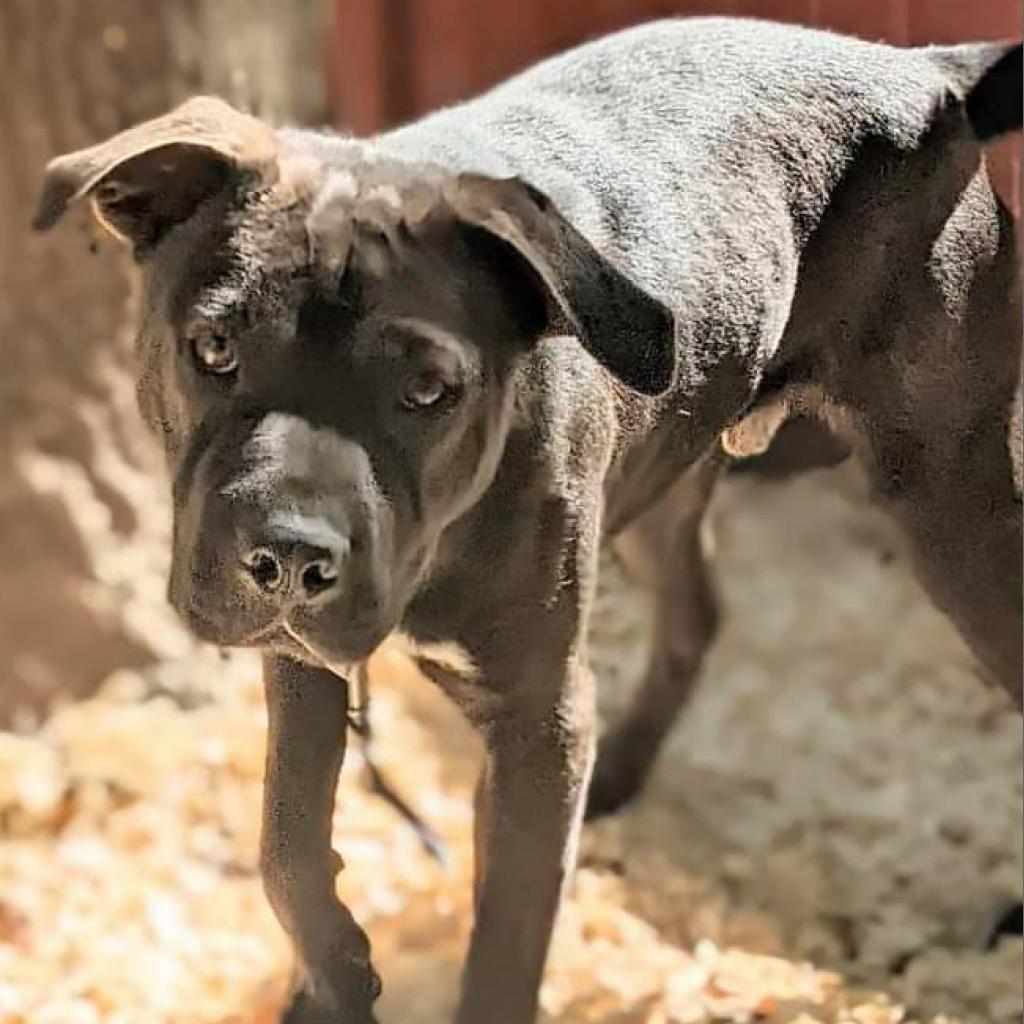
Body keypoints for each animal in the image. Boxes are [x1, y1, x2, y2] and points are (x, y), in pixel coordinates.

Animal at [34, 16, 1024, 1024]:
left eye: (429, 390)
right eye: (213, 347)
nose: (288, 559)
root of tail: (922, 71)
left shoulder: (536, 721)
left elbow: (507, 932)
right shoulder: (305, 662)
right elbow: (287, 840)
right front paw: (334, 973)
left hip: (949, 503)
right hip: (665, 471)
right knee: (697, 613)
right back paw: (619, 779)